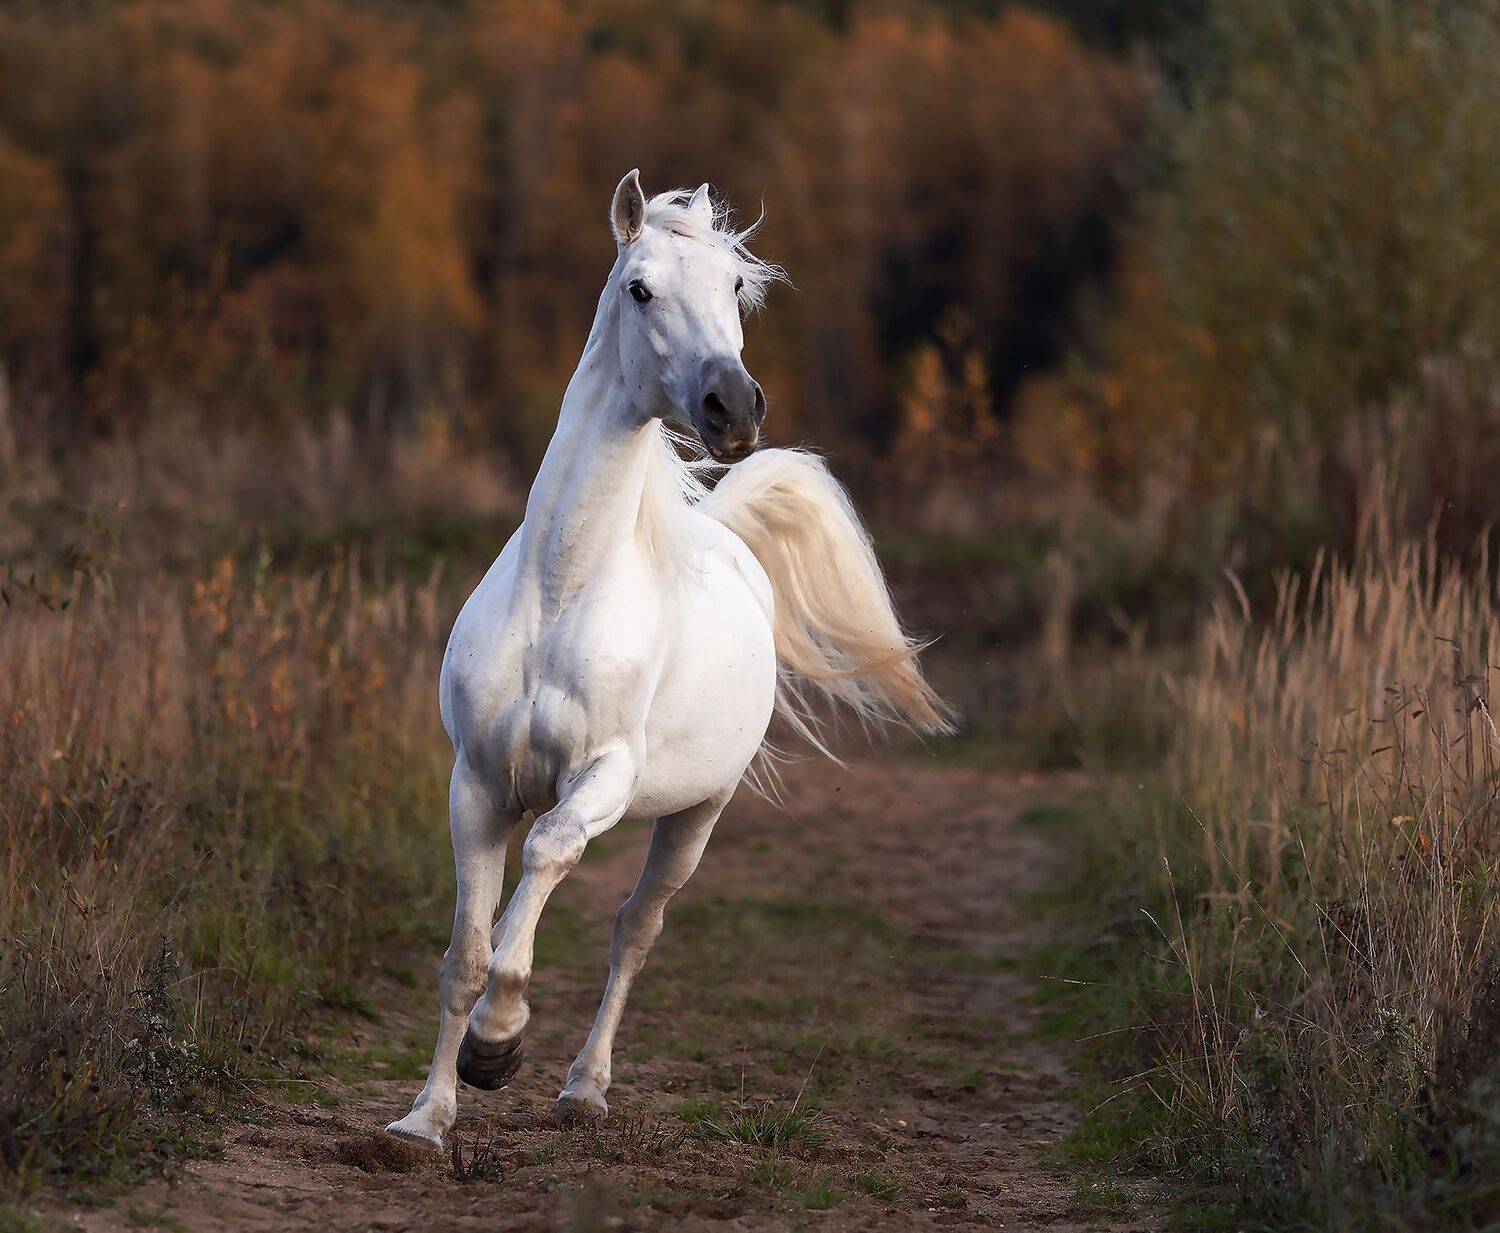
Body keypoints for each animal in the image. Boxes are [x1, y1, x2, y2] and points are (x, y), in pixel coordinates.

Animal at [386, 170, 951, 1149]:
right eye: (640, 287)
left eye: (735, 288)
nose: (736, 407)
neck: (560, 590)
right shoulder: (477, 784)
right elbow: (464, 954)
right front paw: (427, 1118)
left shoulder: (604, 778)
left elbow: (546, 860)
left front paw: (499, 1043)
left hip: (697, 814)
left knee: (634, 932)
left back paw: (585, 1089)